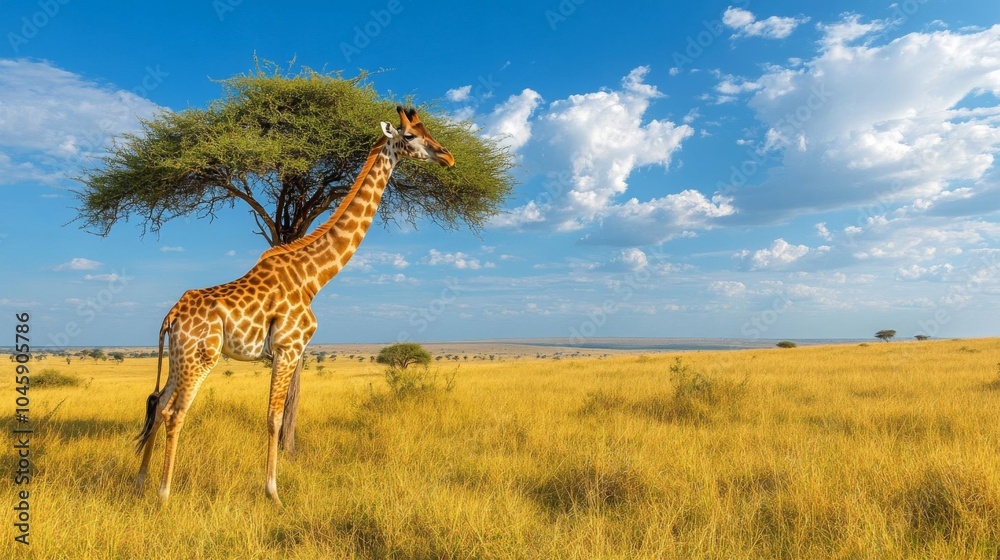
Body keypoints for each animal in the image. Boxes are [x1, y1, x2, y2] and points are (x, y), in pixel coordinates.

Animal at [135, 106, 454, 505]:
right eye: (410, 136)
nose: (448, 157)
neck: (314, 277)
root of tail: (171, 315)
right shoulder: (288, 347)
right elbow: (273, 418)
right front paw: (273, 493)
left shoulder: (290, 351)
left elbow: (278, 416)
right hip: (200, 358)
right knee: (175, 411)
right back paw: (164, 493)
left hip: (179, 358)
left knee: (158, 402)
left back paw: (141, 481)